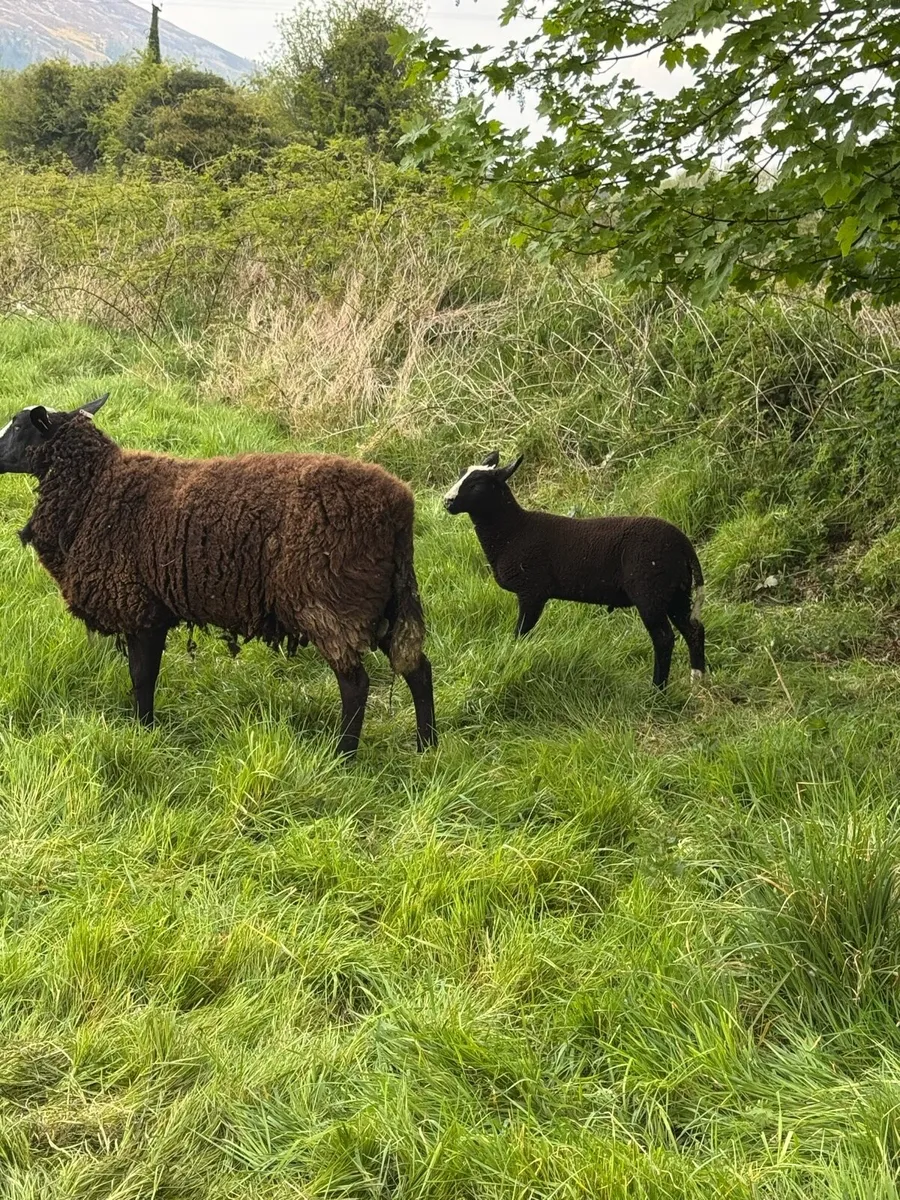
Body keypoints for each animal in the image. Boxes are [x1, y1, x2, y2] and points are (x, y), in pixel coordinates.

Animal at [0, 395, 437, 757]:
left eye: (18, 427)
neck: (95, 489)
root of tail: (400, 507)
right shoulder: (155, 608)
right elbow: (146, 675)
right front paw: (147, 730)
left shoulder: (140, 607)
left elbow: (142, 677)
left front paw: (143, 731)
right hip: (380, 599)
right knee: (417, 667)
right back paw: (426, 746)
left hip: (330, 602)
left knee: (356, 684)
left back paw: (344, 756)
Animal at [443, 451, 705, 689]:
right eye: (460, 474)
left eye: (477, 484)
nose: (447, 501)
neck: (513, 531)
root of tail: (683, 543)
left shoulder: (532, 591)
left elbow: (520, 633)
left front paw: (512, 659)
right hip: (675, 591)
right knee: (694, 630)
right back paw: (698, 681)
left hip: (649, 591)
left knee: (664, 639)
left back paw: (657, 690)